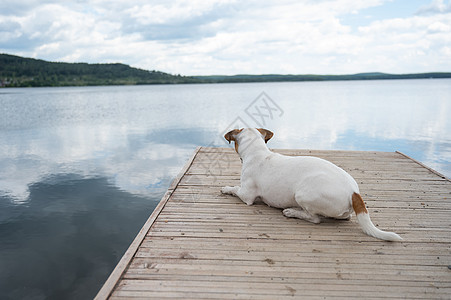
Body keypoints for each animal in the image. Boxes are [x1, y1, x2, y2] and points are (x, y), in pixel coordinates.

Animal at [222, 127, 402, 241]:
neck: (257, 152)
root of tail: (354, 192)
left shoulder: (246, 195)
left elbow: (235, 189)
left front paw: (226, 188)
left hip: (303, 194)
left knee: (315, 218)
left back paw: (292, 212)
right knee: (345, 216)